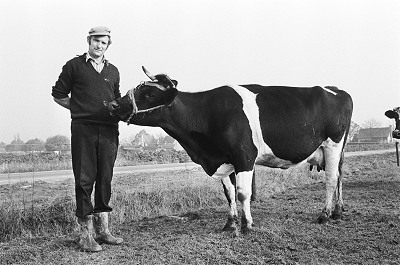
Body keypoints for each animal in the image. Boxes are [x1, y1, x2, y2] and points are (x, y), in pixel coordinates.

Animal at [107, 66, 354, 233]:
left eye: (149, 95)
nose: (113, 104)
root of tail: (336, 90)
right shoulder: (223, 159)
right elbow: (229, 193)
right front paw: (230, 223)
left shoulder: (244, 157)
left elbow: (243, 192)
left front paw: (247, 225)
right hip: (337, 150)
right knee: (340, 175)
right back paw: (338, 211)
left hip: (332, 145)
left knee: (331, 179)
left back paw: (325, 214)